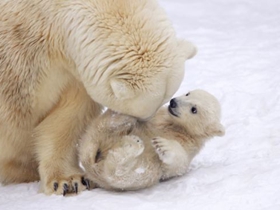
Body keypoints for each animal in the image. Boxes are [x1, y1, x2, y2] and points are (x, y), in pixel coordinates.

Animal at [0, 0, 197, 195]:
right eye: (142, 113)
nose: (143, 125)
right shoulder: (18, 56)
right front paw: (24, 169)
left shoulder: (73, 75)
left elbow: (68, 119)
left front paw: (69, 181)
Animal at [79, 89, 225, 191]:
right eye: (188, 93)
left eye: (194, 109)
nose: (173, 102)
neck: (176, 127)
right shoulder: (157, 118)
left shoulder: (188, 146)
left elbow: (176, 165)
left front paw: (162, 144)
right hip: (95, 135)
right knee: (104, 127)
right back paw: (124, 118)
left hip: (136, 175)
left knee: (120, 172)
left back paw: (132, 144)